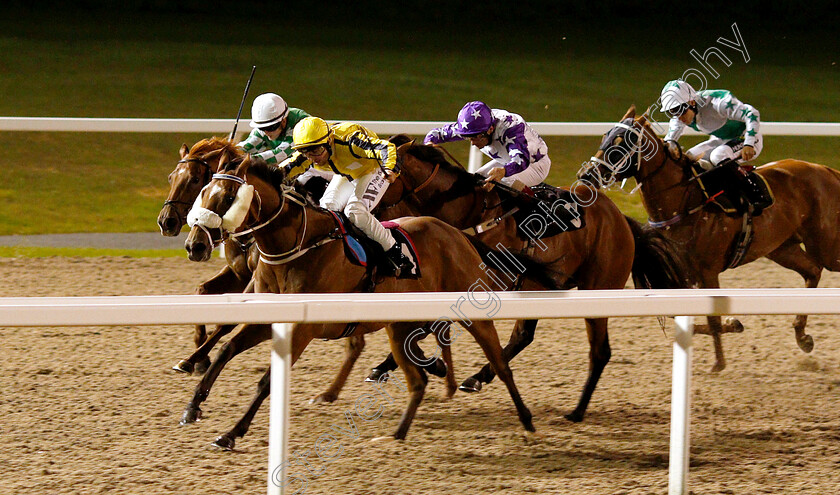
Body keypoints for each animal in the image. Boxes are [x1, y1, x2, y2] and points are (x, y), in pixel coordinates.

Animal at [184, 155, 564, 446]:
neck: (295, 246)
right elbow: (227, 349)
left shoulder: (303, 327)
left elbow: (267, 381)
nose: (194, 244)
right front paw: (193, 405)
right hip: (401, 322)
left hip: (471, 311)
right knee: (419, 365)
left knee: (500, 363)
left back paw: (526, 420)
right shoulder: (268, 317)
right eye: (202, 192)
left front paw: (231, 433)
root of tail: (457, 234)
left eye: (227, 197)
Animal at [580, 107, 840, 372]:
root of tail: (826, 170)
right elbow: (680, 314)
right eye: (605, 136)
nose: (586, 175)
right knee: (812, 271)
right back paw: (802, 336)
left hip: (827, 245)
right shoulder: (681, 275)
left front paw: (719, 361)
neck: (683, 202)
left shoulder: (707, 272)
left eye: (621, 143)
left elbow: (712, 317)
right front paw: (732, 326)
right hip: (781, 248)